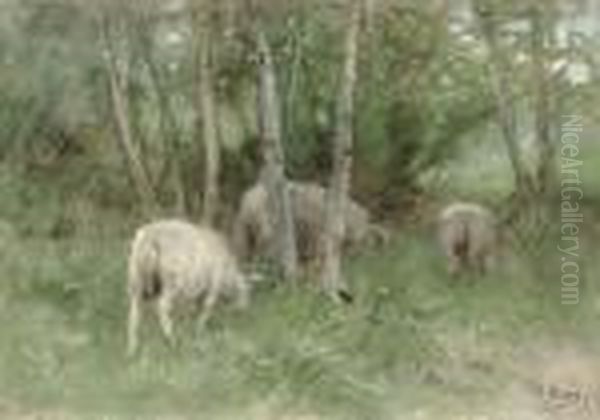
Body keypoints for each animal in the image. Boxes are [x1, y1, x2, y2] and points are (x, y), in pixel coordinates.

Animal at [126, 218, 248, 356]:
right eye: (246, 293)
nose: (243, 311)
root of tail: (151, 237)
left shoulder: (194, 291)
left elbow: (189, 310)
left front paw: (188, 327)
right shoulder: (213, 286)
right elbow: (206, 308)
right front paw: (198, 328)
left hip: (136, 279)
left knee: (134, 314)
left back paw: (132, 348)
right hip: (173, 281)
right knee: (162, 307)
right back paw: (171, 340)